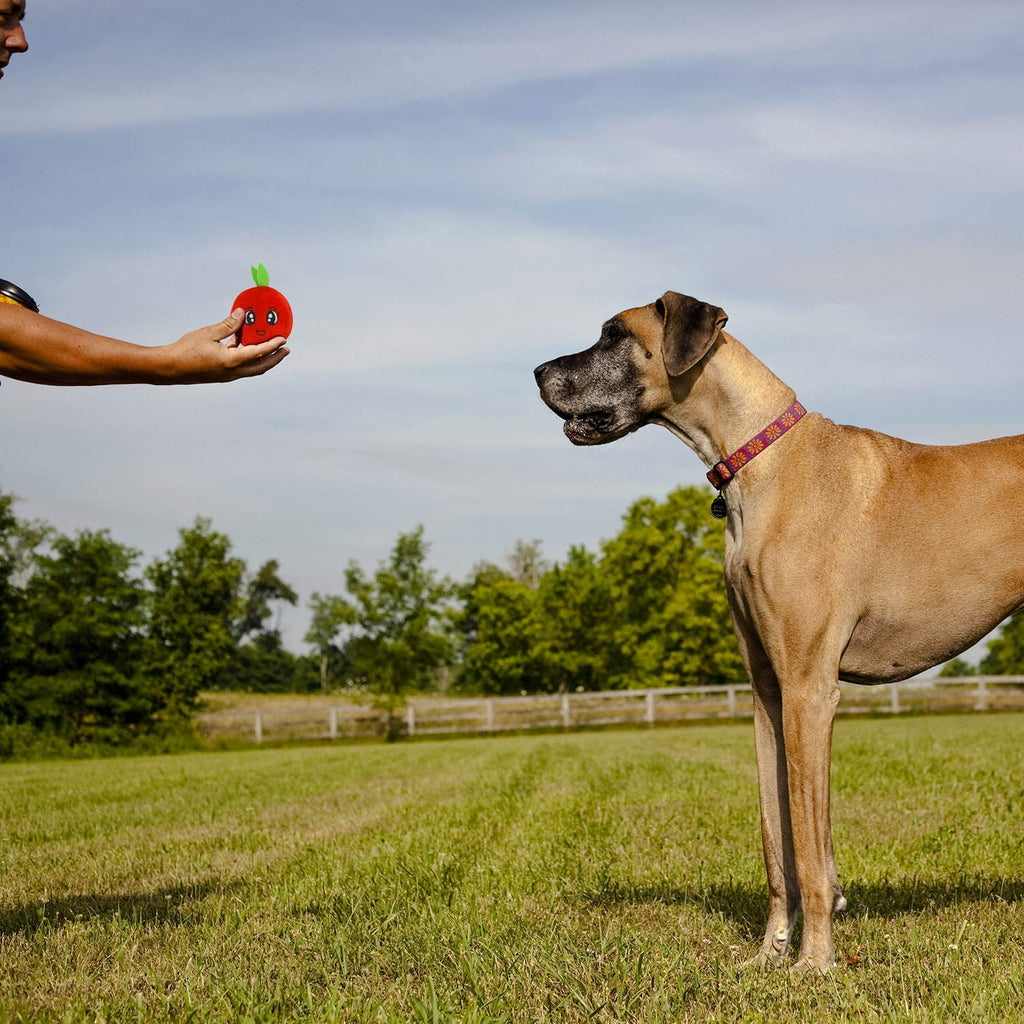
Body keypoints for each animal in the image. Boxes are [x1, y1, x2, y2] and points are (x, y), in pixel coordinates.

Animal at [532, 292, 1024, 970]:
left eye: (614, 335)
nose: (536, 373)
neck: (758, 458)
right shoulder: (768, 691)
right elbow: (776, 840)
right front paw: (769, 954)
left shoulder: (808, 689)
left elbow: (809, 849)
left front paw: (813, 961)